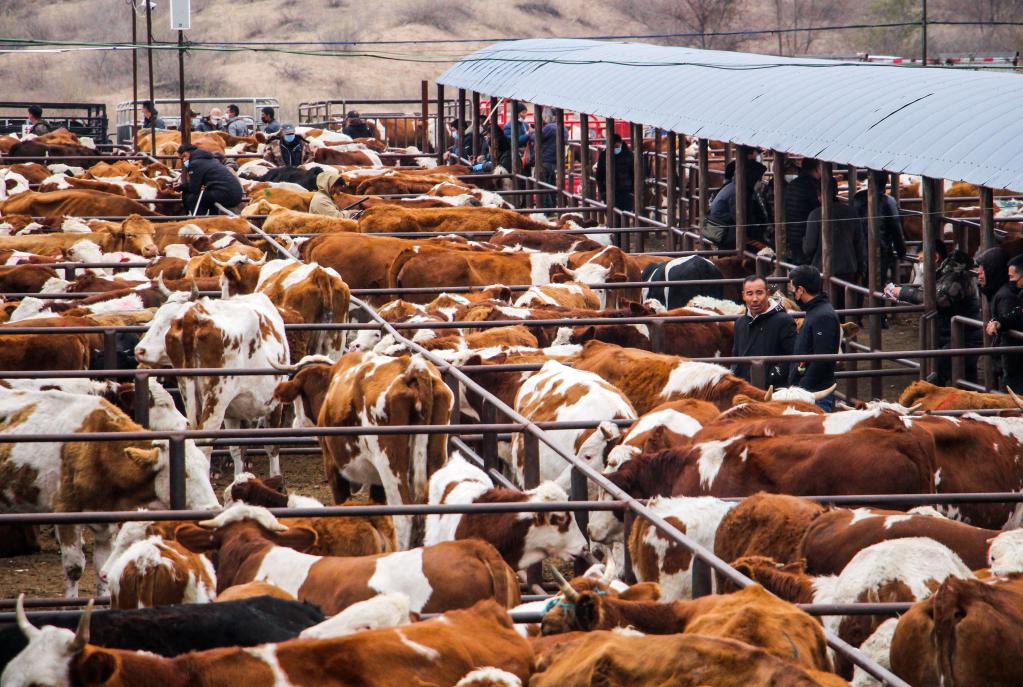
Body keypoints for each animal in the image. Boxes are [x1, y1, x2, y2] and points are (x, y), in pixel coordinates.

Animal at [0, 388, 217, 597]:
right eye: (185, 473)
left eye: (206, 468)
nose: (213, 508)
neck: (98, 452)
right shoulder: (66, 514)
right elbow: (74, 569)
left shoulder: (105, 523)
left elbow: (100, 568)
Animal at [134, 290, 290, 478]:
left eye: (167, 319)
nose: (139, 350)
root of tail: (192, 317)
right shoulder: (275, 403)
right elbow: (272, 445)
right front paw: (276, 479)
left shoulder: (232, 413)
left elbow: (237, 449)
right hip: (216, 398)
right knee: (205, 443)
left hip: (188, 391)